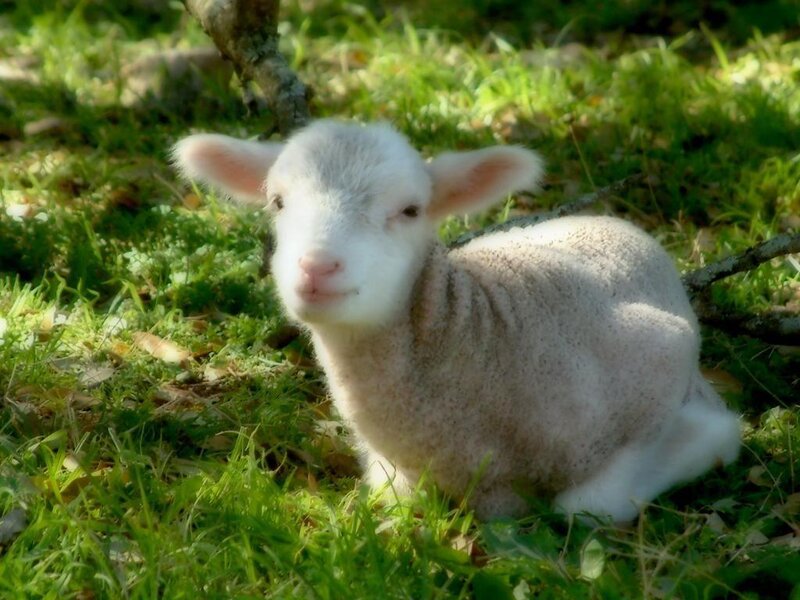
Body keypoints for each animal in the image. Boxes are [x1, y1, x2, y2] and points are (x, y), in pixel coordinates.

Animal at [173, 120, 741, 522]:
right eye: (277, 201)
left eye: (410, 210)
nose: (317, 267)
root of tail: (610, 221)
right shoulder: (393, 475)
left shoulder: (661, 364)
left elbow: (588, 506)